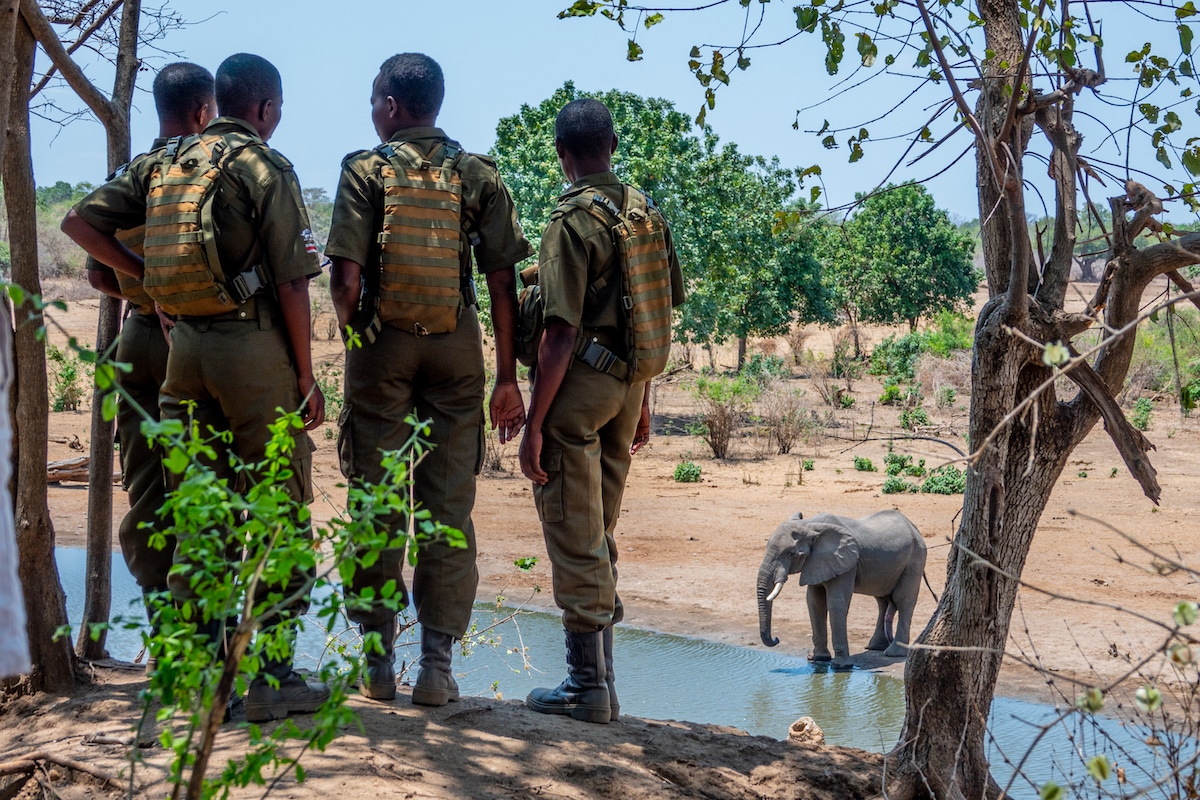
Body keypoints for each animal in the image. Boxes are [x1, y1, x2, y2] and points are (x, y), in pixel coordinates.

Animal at [758, 510, 926, 666]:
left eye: (791, 553)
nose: (776, 639)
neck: (810, 525)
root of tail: (914, 527)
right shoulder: (816, 562)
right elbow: (814, 602)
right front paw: (819, 658)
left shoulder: (846, 563)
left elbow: (836, 602)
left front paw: (841, 666)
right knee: (882, 601)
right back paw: (875, 647)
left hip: (914, 560)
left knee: (903, 600)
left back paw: (893, 653)